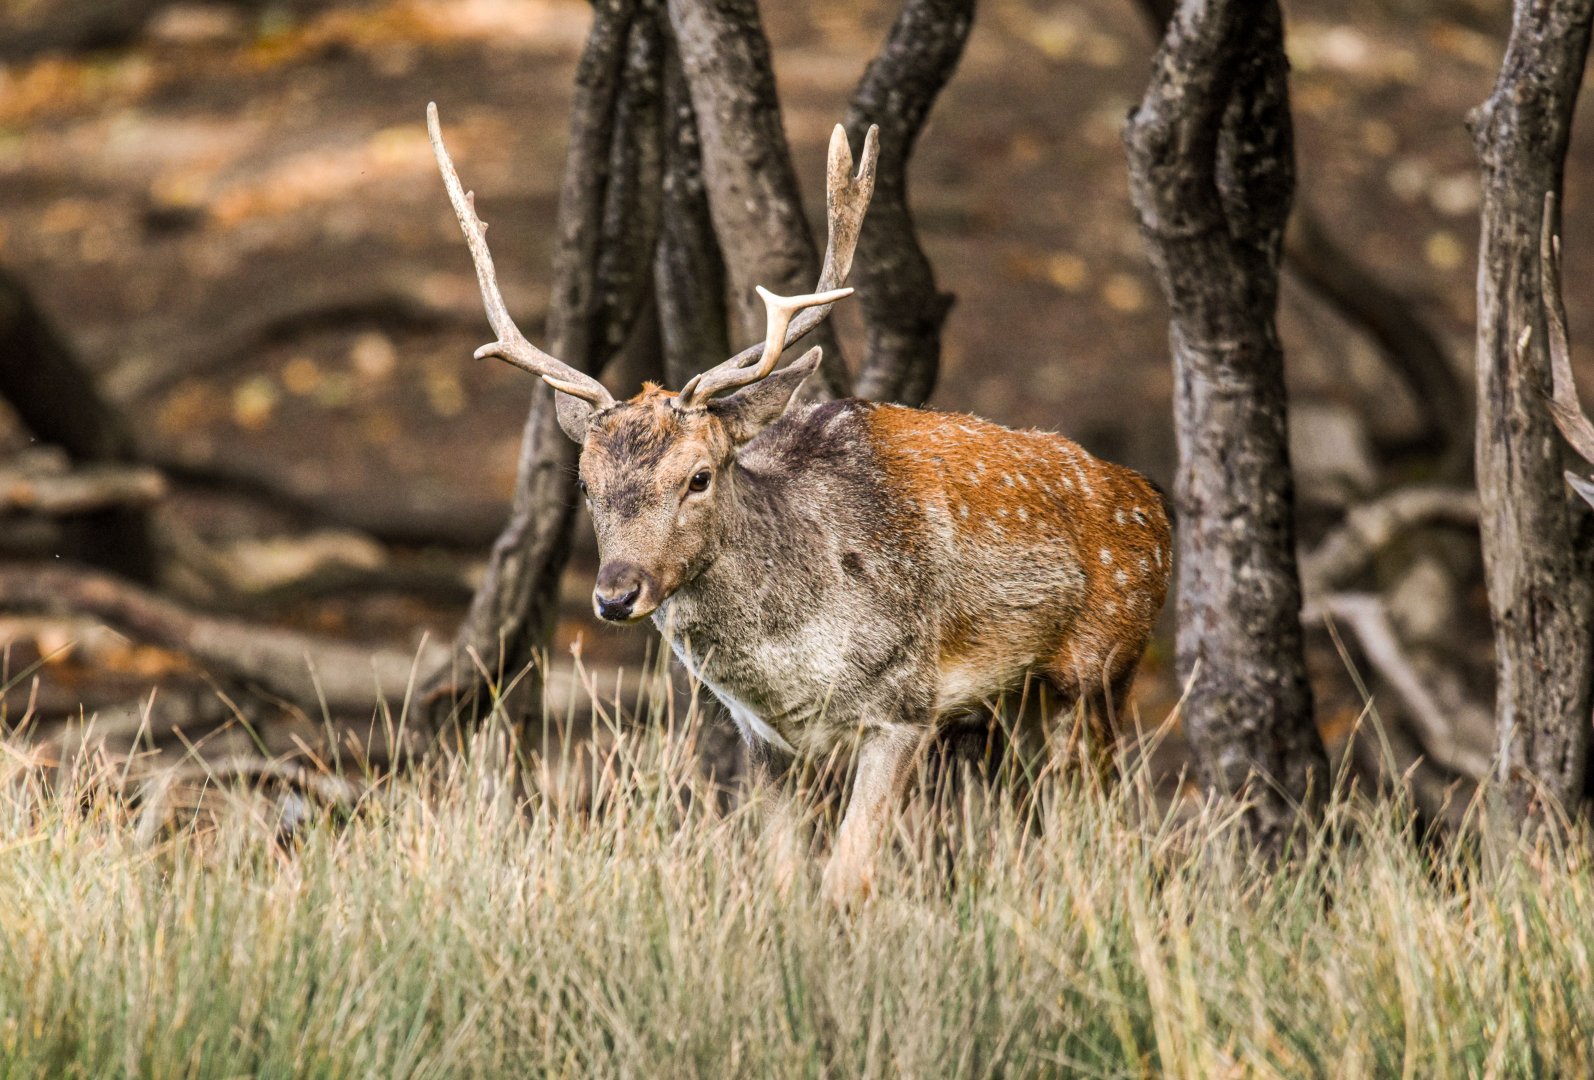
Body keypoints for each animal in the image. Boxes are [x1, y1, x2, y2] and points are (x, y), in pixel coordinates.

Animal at [428, 103, 1172, 908]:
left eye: (699, 477)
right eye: (586, 484)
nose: (616, 594)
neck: (799, 657)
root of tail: (1155, 505)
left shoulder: (906, 706)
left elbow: (849, 877)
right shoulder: (764, 738)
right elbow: (783, 878)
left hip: (1101, 671)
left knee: (1107, 825)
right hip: (1011, 711)